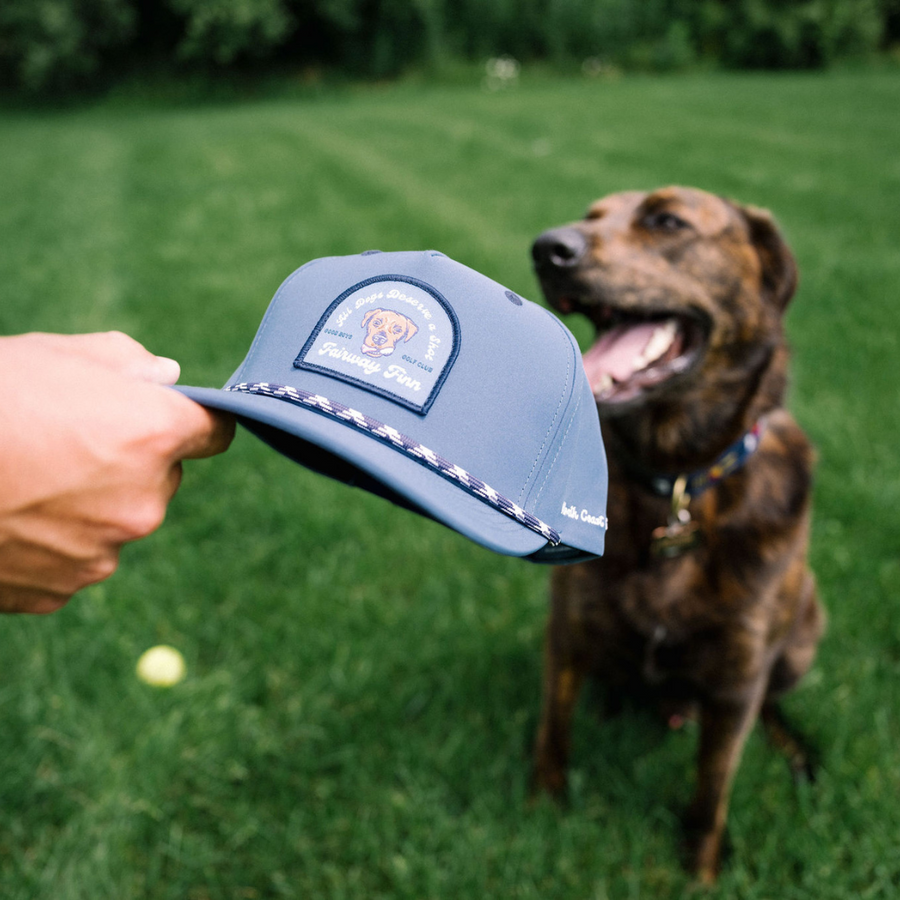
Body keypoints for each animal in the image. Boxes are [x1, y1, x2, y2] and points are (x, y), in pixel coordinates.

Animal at [532, 186, 828, 884]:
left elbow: (711, 789)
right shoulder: (566, 630)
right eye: (590, 215)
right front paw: (542, 808)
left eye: (667, 221)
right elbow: (554, 729)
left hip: (806, 627)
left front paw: (700, 871)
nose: (548, 248)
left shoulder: (738, 677)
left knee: (775, 703)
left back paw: (796, 752)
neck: (674, 484)